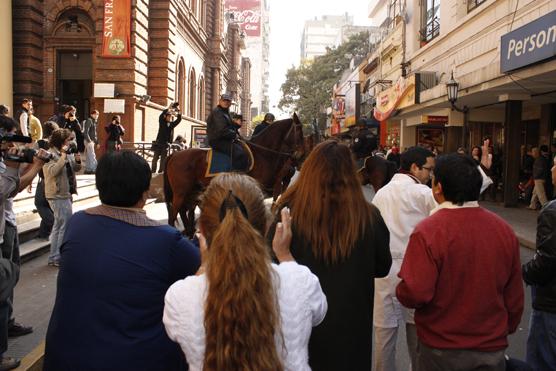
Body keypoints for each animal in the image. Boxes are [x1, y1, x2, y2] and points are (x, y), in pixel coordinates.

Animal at [163, 114, 306, 235]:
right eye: (299, 132)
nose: (302, 156)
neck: (262, 153)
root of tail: (174, 154)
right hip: (181, 192)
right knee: (174, 213)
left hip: (192, 191)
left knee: (183, 211)